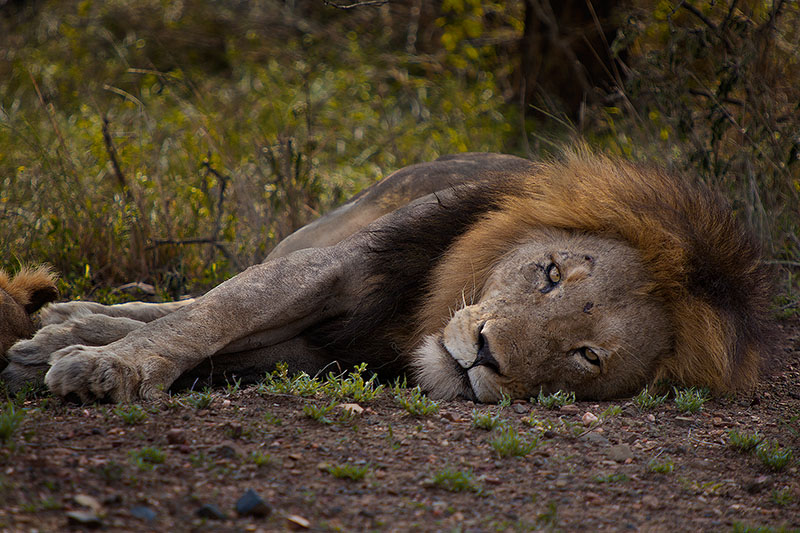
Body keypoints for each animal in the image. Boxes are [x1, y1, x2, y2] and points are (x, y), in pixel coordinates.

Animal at [1, 148, 776, 402]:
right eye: (551, 273)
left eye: (586, 356)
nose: (485, 353)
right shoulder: (338, 269)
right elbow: (210, 314)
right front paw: (104, 367)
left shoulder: (313, 348)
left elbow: (214, 336)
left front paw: (84, 350)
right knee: (197, 296)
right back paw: (56, 328)